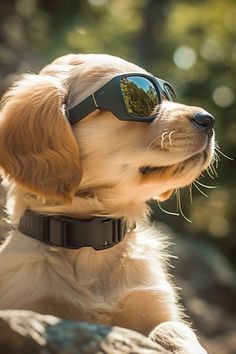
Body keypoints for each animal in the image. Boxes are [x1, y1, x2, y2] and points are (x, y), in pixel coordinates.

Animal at [0, 54, 215, 352]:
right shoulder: (26, 305)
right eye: (141, 100)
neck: (90, 242)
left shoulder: (155, 302)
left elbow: (172, 328)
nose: (208, 119)